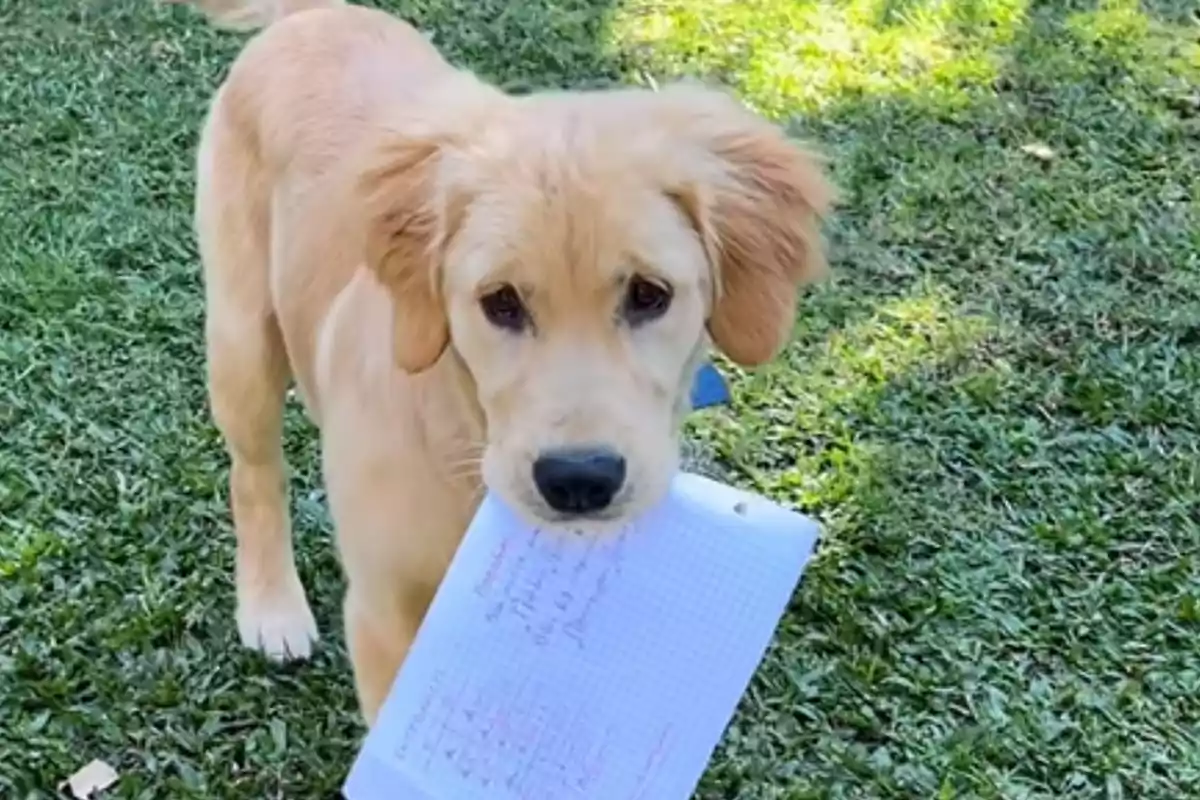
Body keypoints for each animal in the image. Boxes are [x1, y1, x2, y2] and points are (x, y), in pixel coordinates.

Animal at [171, 0, 835, 724]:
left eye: (648, 295)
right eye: (502, 302)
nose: (580, 479)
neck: (466, 436)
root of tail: (317, 13)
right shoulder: (383, 614)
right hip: (243, 338)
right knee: (255, 474)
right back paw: (272, 606)